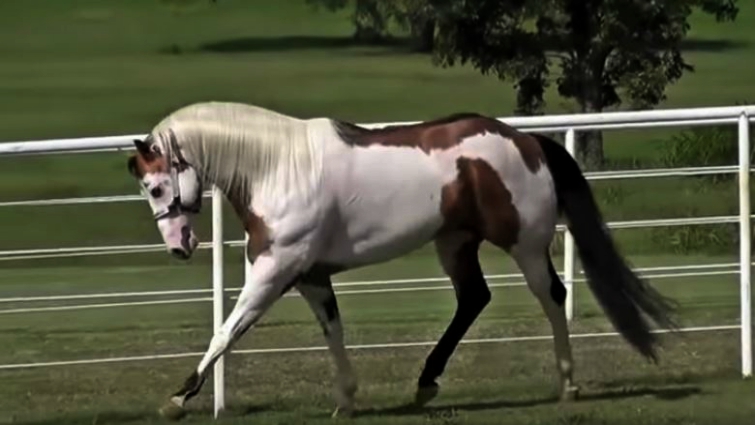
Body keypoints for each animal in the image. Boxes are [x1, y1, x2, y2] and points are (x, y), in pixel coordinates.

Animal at [125, 101, 678, 420]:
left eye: (156, 187)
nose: (179, 246)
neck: (280, 169)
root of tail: (527, 141)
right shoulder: (309, 277)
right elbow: (333, 331)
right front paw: (346, 400)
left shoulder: (273, 272)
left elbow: (226, 330)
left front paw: (178, 398)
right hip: (454, 244)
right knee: (473, 299)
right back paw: (426, 382)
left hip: (523, 244)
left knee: (552, 296)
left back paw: (567, 382)